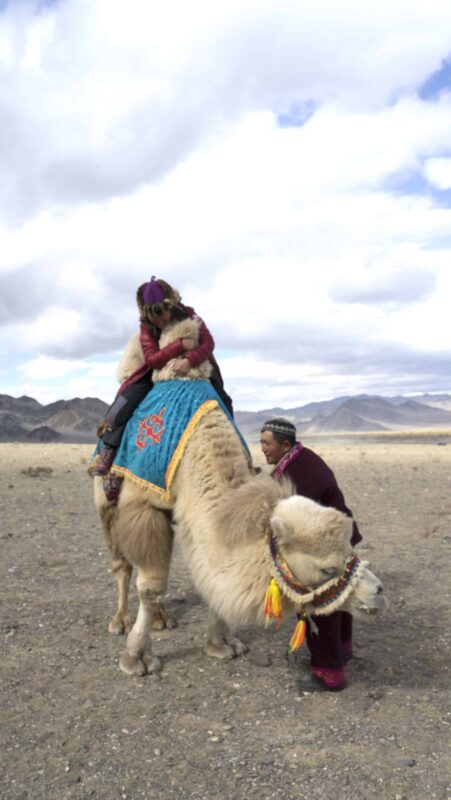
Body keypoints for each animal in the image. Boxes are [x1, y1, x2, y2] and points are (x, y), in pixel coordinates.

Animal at [94, 318, 387, 677]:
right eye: (327, 569)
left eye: (350, 549)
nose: (377, 592)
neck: (196, 451)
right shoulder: (143, 506)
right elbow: (150, 587)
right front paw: (136, 658)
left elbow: (205, 582)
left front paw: (221, 644)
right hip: (106, 499)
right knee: (123, 565)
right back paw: (121, 621)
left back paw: (163, 618)